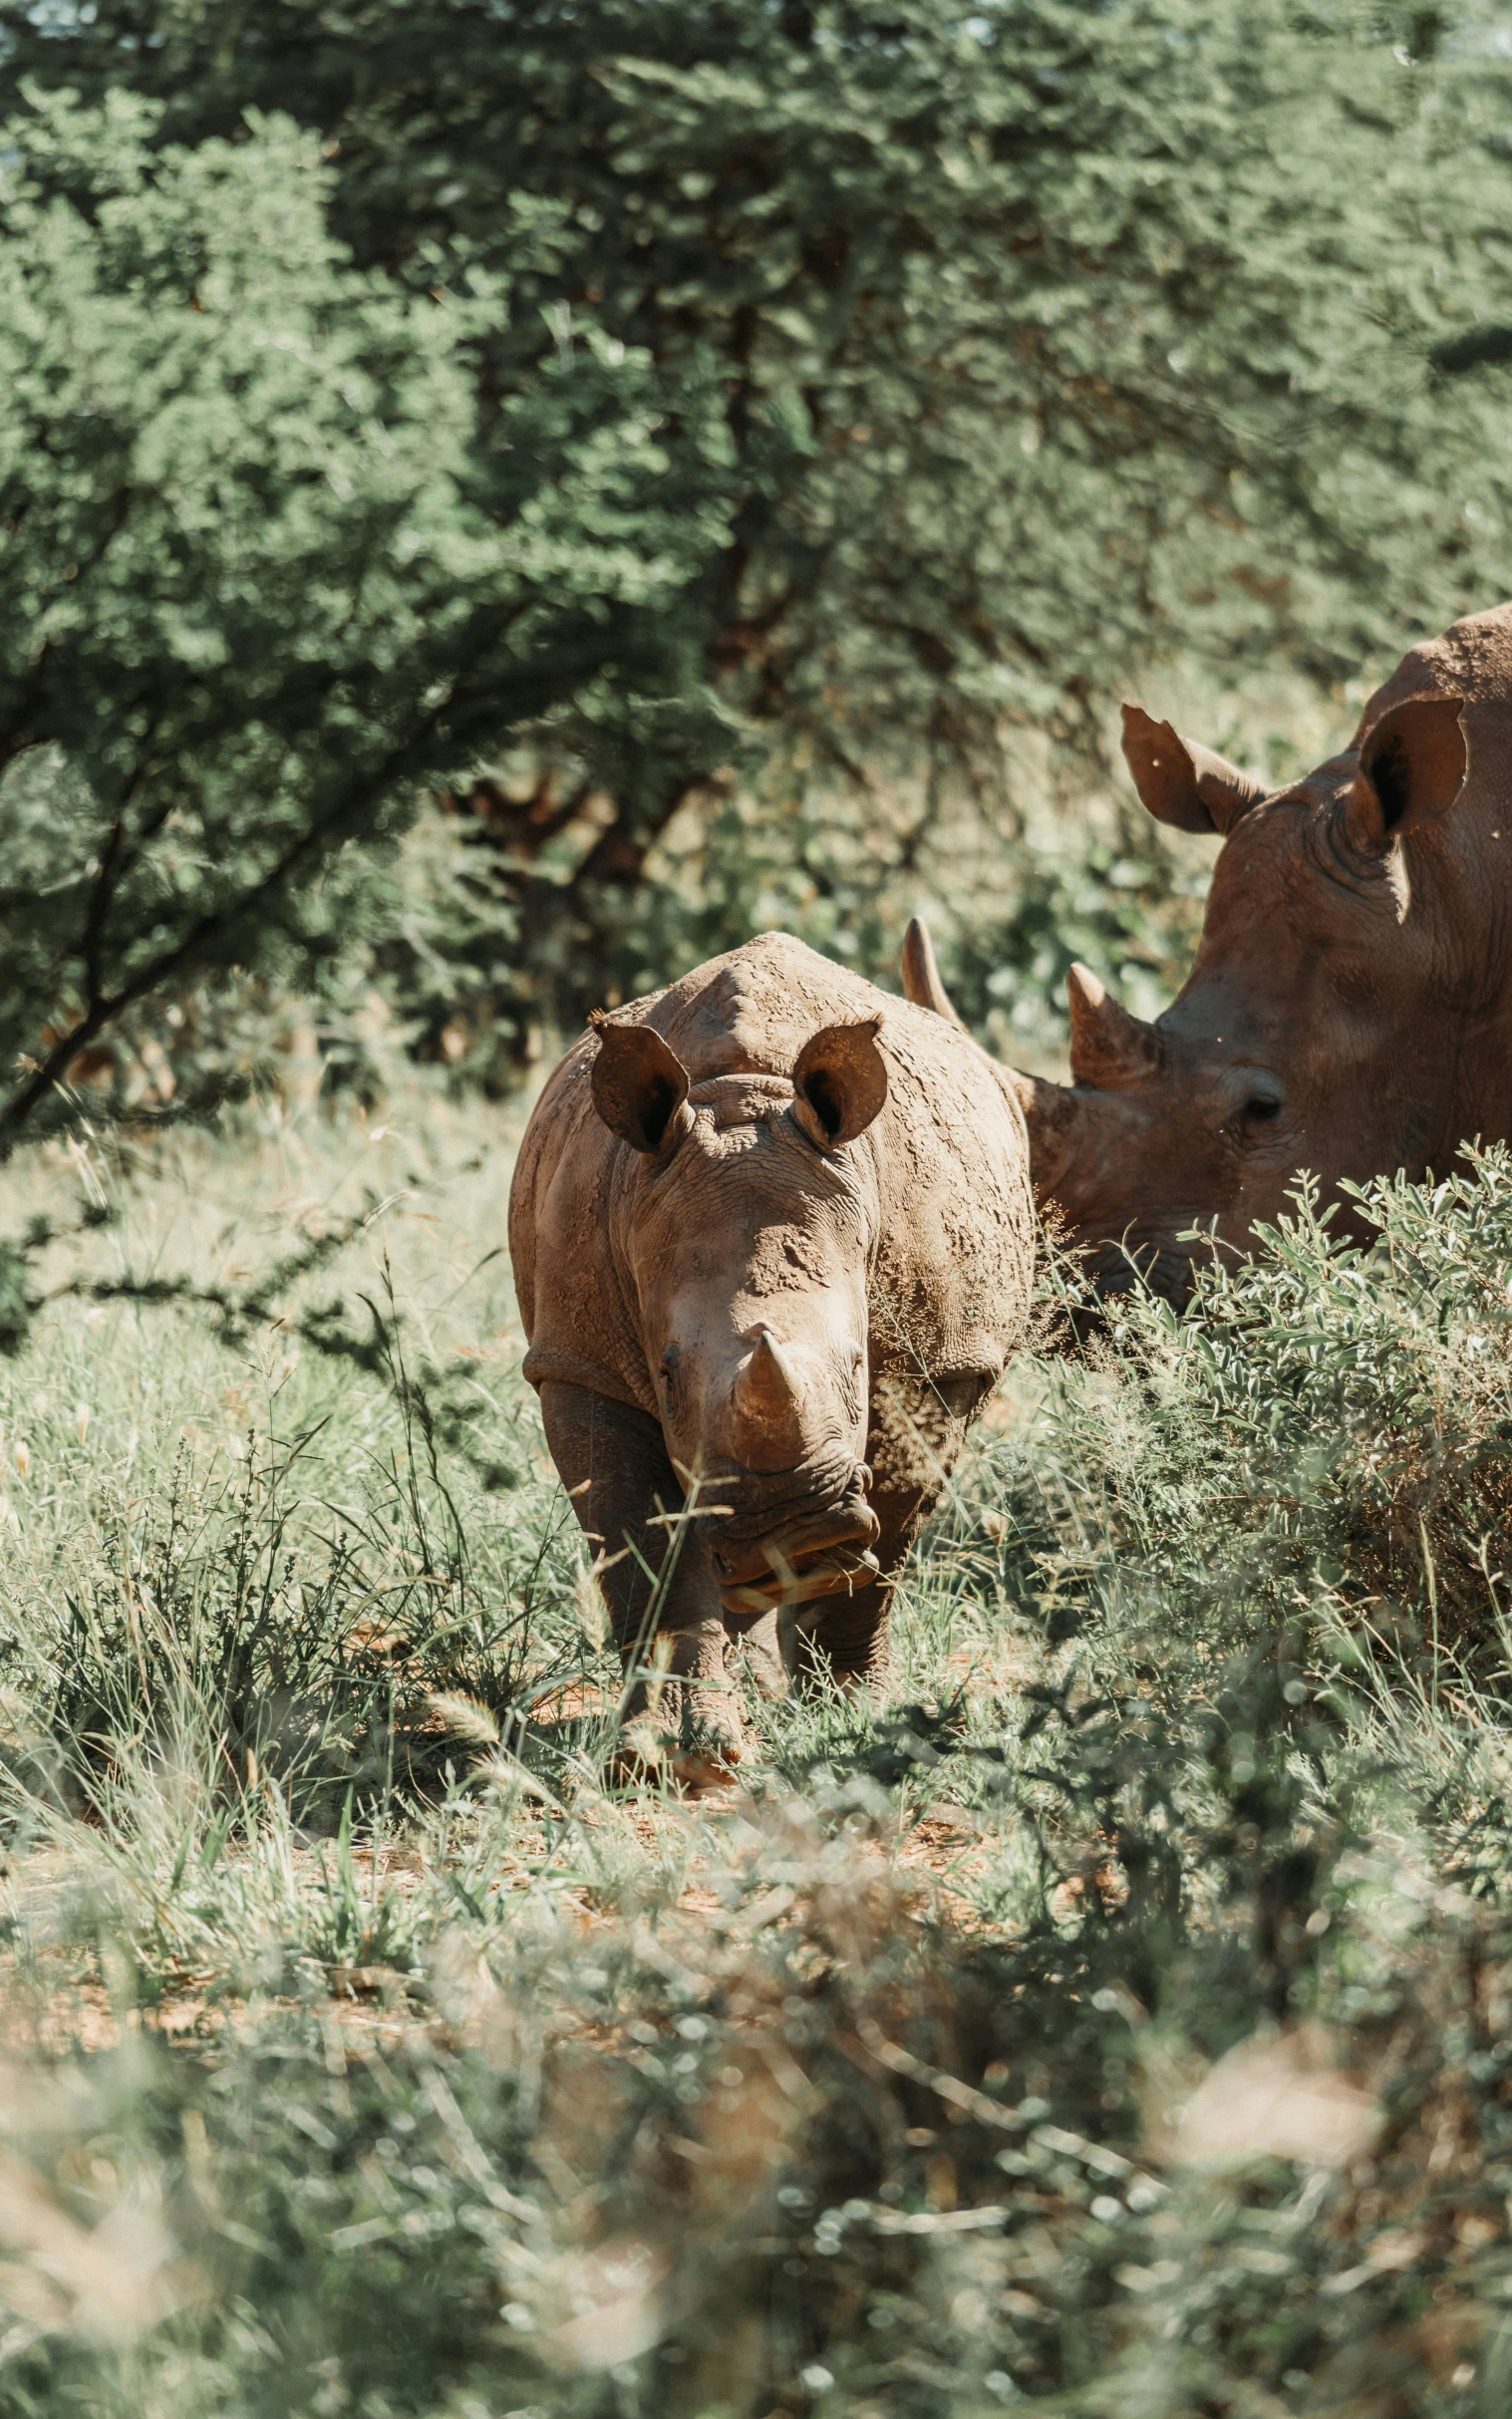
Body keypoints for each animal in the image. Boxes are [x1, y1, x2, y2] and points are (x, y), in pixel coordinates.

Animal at [512, 924, 1030, 1780]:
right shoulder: (580, 1363)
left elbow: (886, 1543)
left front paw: (849, 1710)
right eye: (667, 1374)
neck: (742, 1099)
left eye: (857, 1366)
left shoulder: (940, 1362)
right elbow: (641, 1553)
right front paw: (664, 1754)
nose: (792, 1531)